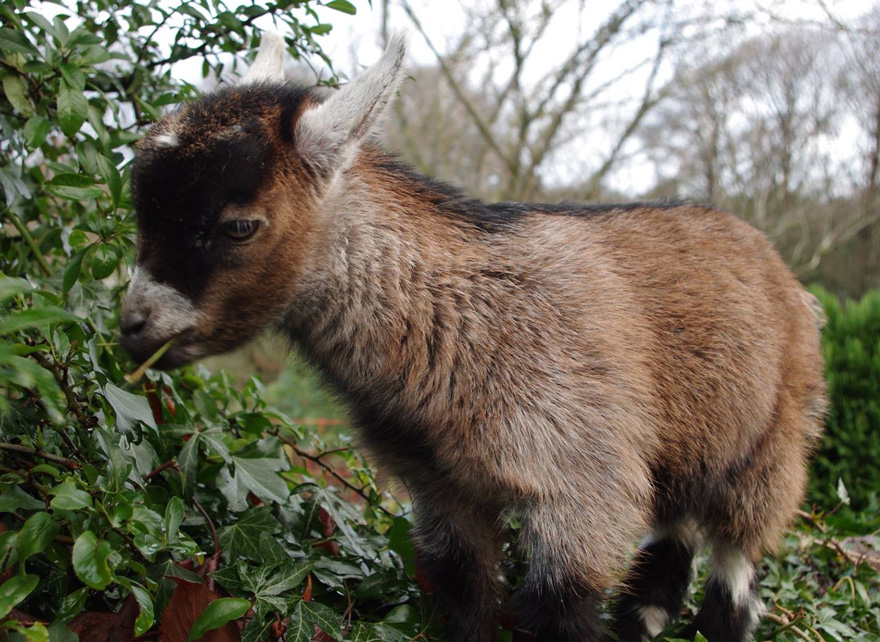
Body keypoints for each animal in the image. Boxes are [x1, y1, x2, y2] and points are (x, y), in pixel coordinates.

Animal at [120, 33, 827, 642]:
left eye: (239, 225)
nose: (134, 328)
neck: (457, 326)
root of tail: (779, 267)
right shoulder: (442, 493)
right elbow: (468, 600)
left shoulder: (582, 487)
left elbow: (563, 611)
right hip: (692, 440)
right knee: (674, 533)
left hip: (777, 441)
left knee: (736, 569)